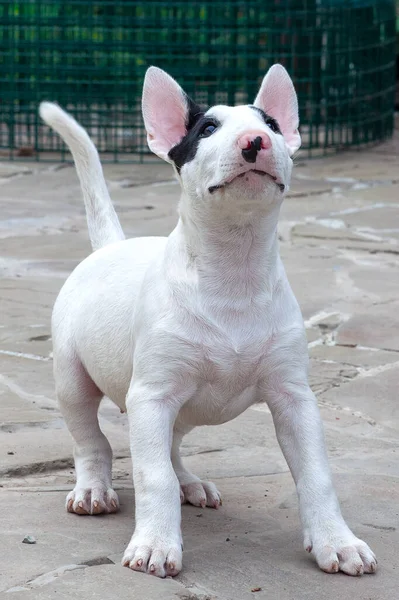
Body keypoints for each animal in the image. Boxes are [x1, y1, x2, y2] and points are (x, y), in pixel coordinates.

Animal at [39, 68, 378, 580]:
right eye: (208, 129)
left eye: (272, 125)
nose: (256, 141)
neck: (234, 273)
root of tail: (111, 246)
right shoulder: (152, 394)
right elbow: (151, 474)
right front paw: (156, 546)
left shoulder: (294, 397)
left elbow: (317, 473)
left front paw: (337, 543)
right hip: (73, 378)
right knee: (92, 440)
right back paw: (94, 489)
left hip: (180, 406)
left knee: (172, 447)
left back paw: (189, 483)